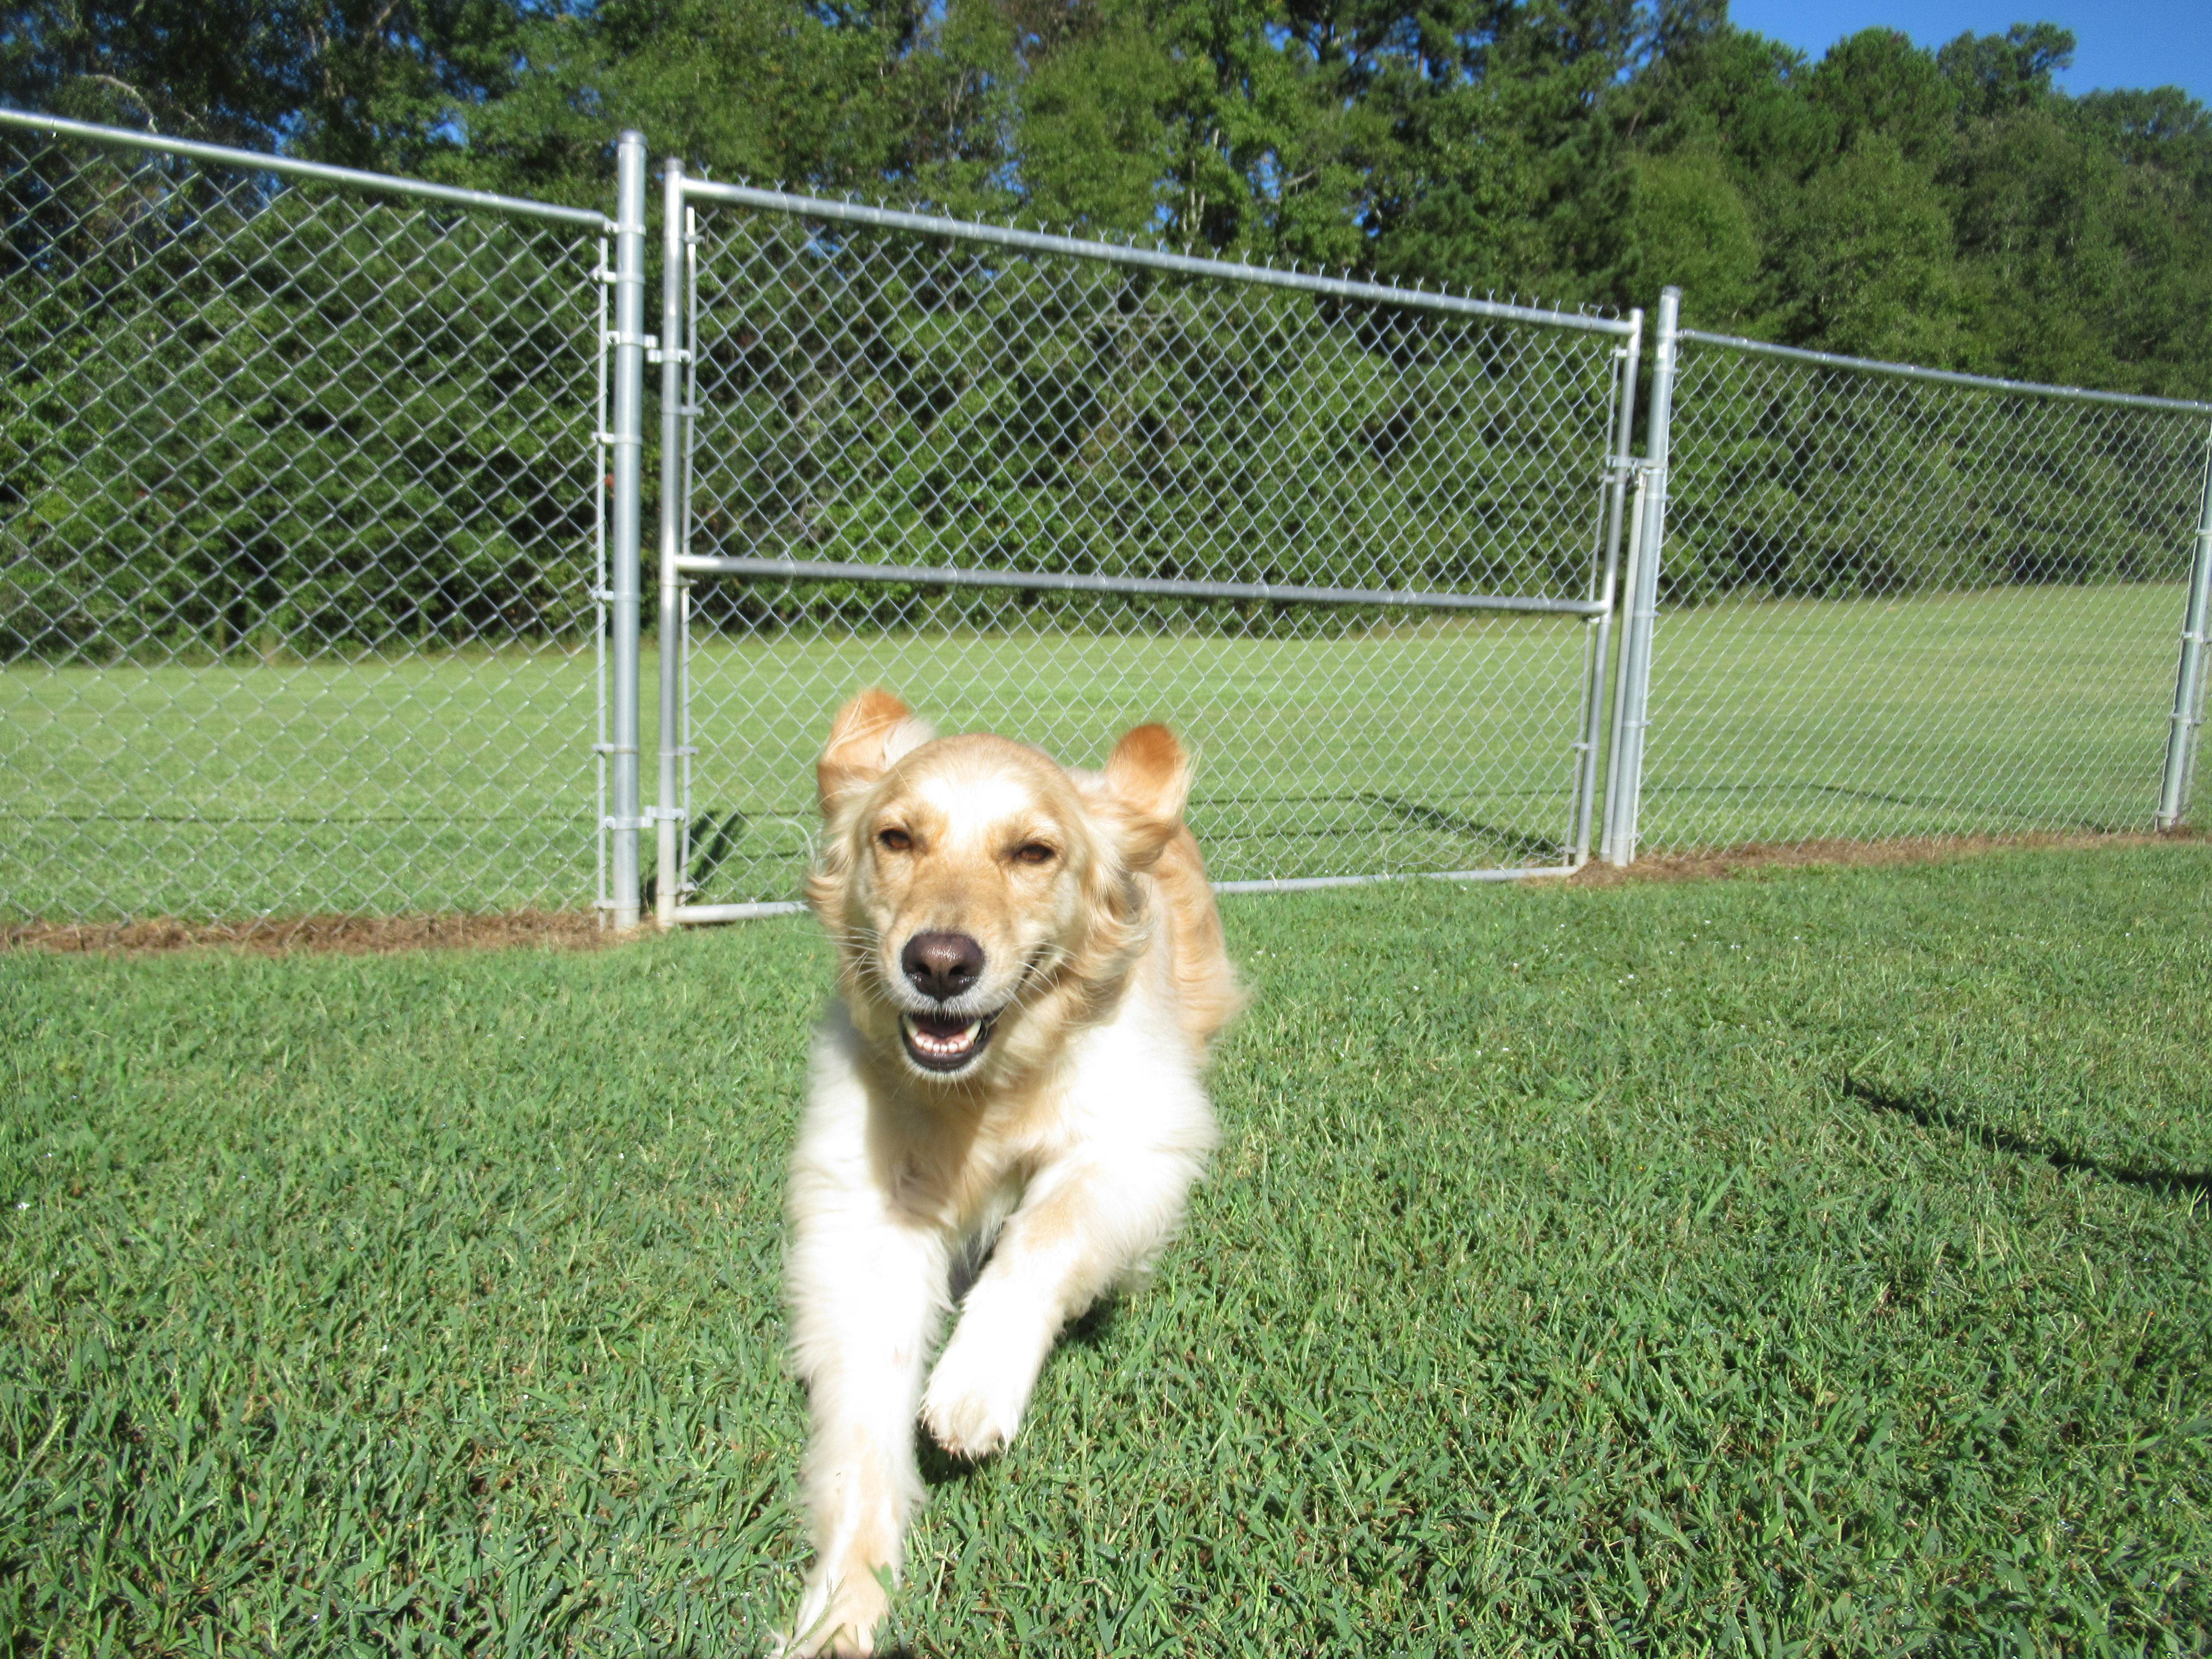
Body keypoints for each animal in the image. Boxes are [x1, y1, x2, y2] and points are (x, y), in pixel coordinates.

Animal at [778, 690, 1239, 1659]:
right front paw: (844, 1601)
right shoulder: (867, 1213)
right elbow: (863, 1426)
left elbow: (1045, 1233)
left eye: (1033, 852)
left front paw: (973, 1379)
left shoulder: (1142, 1136)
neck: (987, 1088)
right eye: (897, 838)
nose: (939, 964)